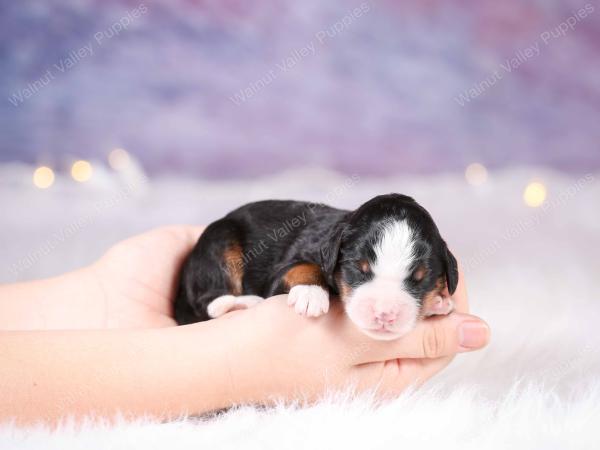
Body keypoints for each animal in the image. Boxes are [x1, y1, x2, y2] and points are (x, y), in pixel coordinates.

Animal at [175, 194, 460, 342]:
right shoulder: (282, 273)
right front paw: (310, 293)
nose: (384, 313)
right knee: (210, 301)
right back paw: (243, 303)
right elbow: (304, 266)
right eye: (359, 268)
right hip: (219, 241)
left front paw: (437, 302)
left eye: (420, 278)